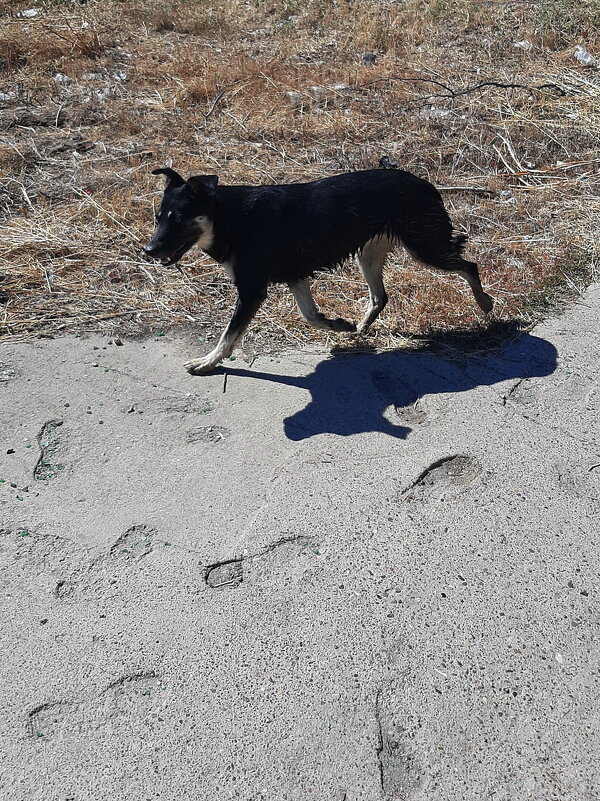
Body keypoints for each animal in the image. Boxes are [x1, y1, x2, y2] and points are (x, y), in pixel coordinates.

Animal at [145, 169, 492, 376]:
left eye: (178, 219)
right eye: (158, 217)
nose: (148, 251)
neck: (229, 217)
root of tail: (426, 183)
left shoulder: (252, 290)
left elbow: (228, 335)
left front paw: (207, 362)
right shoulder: (294, 277)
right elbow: (310, 315)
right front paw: (338, 324)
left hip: (426, 248)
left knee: (468, 266)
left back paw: (485, 303)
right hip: (370, 255)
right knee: (380, 296)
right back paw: (360, 328)